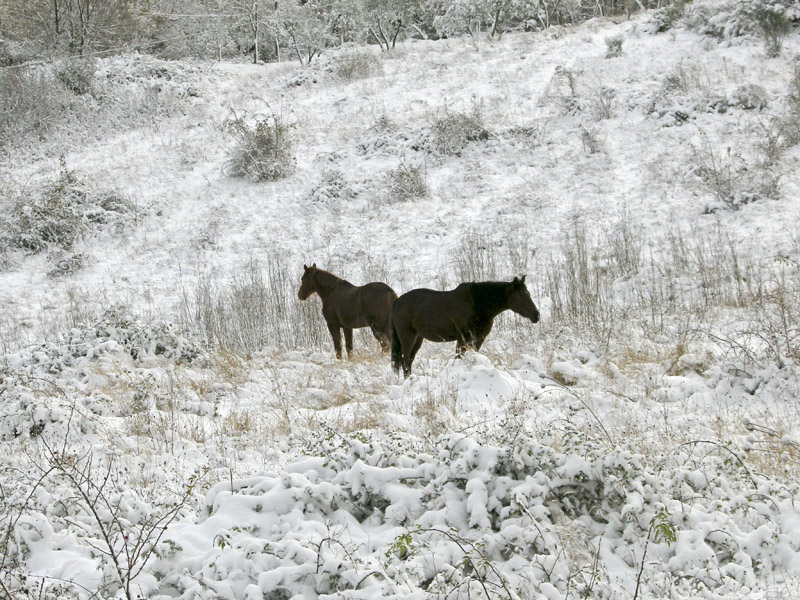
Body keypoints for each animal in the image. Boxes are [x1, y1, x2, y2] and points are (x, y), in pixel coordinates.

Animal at [392, 276, 540, 376]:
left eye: (528, 294)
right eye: (518, 297)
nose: (536, 315)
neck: (478, 304)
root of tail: (396, 302)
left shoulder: (478, 339)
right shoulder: (463, 338)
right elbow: (459, 357)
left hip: (418, 338)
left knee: (409, 361)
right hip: (407, 337)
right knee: (405, 361)